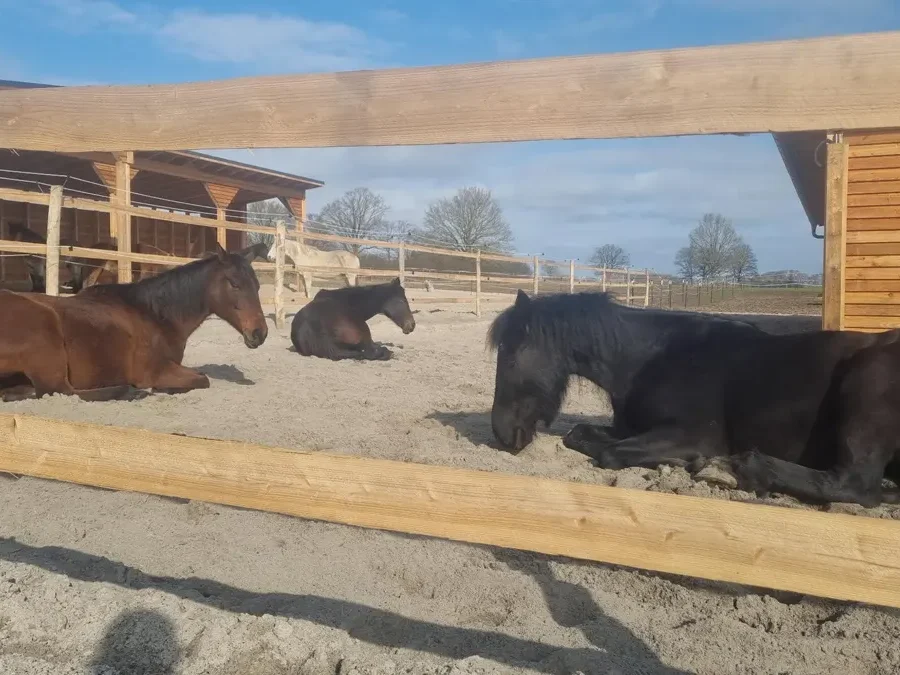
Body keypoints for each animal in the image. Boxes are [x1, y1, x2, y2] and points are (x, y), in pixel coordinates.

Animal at [0, 242, 268, 402]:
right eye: (234, 284)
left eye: (257, 285)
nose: (259, 333)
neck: (154, 314)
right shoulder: (155, 369)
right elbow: (202, 378)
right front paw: (161, 388)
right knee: (61, 391)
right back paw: (130, 390)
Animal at [487, 289, 900, 508]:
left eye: (511, 357)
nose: (502, 434)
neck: (651, 358)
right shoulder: (630, 427)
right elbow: (582, 436)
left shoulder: (692, 434)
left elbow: (611, 454)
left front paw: (692, 462)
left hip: (863, 390)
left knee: (856, 485)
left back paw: (737, 468)